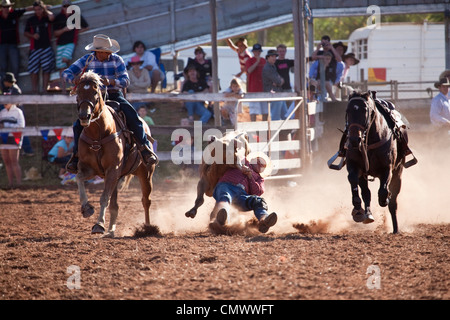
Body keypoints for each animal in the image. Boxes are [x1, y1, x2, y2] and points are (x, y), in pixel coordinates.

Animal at [74, 72, 156, 238]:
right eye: (78, 93)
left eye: (95, 93)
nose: (84, 116)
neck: (99, 133)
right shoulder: (89, 169)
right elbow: (79, 179)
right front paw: (87, 209)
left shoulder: (113, 169)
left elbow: (104, 197)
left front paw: (99, 225)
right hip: (116, 177)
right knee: (115, 205)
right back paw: (111, 230)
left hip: (145, 173)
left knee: (146, 200)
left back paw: (147, 228)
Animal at [344, 91, 408, 234]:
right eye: (348, 111)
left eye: (365, 110)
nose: (354, 140)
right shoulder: (355, 167)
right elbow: (354, 181)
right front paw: (357, 208)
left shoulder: (387, 169)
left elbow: (384, 192)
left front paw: (385, 198)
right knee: (366, 193)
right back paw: (367, 214)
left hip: (398, 172)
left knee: (393, 202)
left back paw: (395, 229)